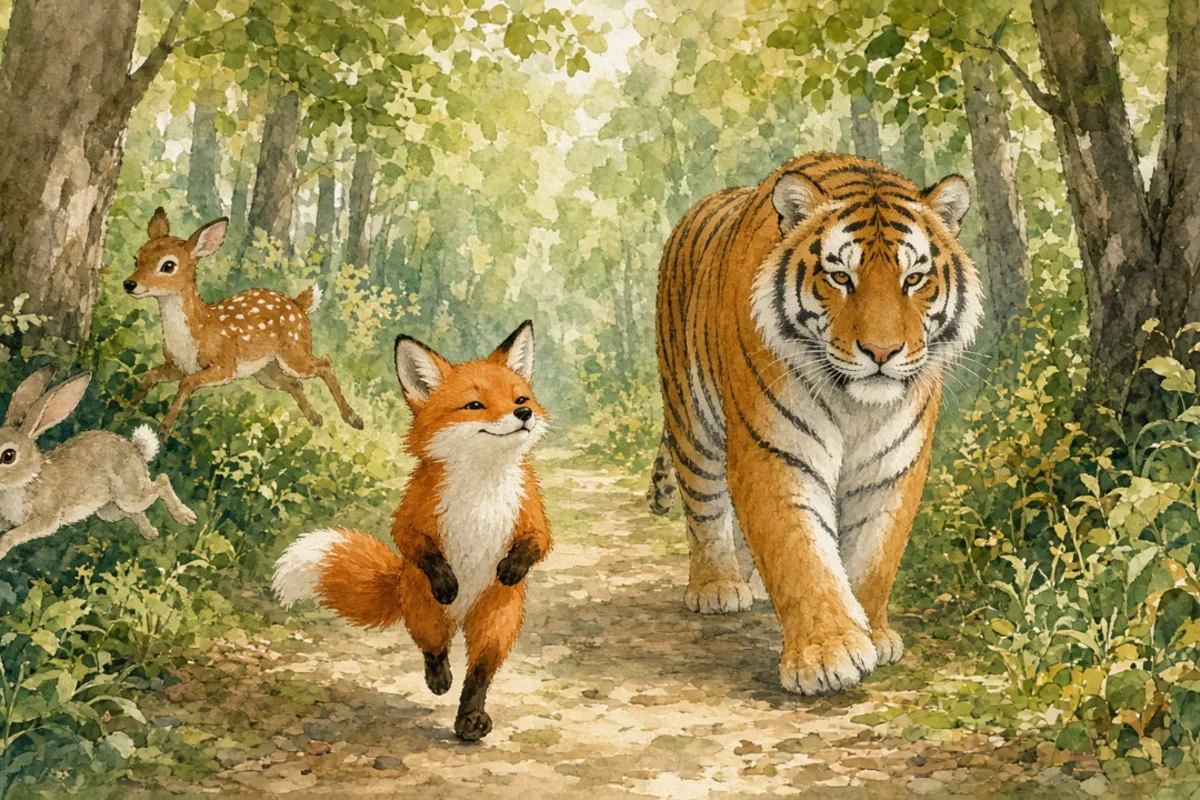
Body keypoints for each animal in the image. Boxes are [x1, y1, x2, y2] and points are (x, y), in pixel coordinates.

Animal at [649, 152, 981, 695]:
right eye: (840, 278)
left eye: (913, 279)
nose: (882, 352)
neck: (856, 406)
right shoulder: (774, 450)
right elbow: (800, 553)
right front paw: (827, 655)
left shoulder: (894, 464)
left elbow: (874, 556)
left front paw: (875, 635)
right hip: (690, 415)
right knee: (704, 505)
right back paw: (718, 586)